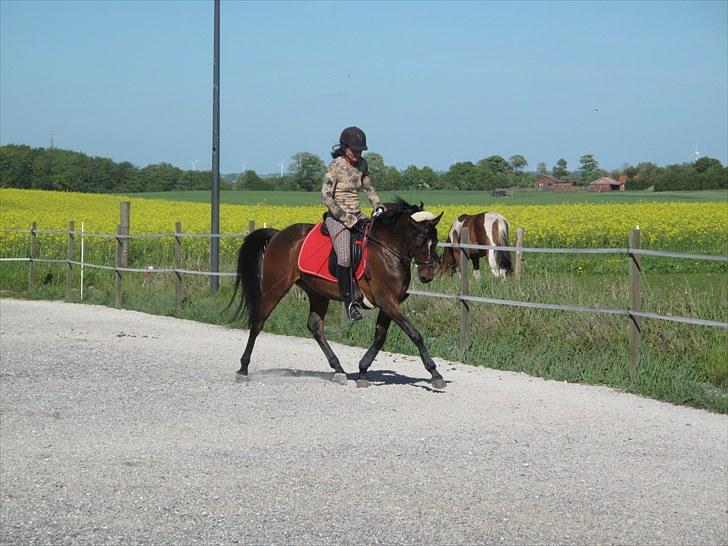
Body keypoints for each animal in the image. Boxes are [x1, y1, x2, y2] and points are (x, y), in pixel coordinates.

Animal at [229, 198, 446, 389]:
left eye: (435, 240)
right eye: (419, 239)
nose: (428, 275)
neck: (387, 249)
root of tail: (277, 234)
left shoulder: (389, 303)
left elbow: (380, 337)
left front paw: (363, 370)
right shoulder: (387, 301)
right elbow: (414, 334)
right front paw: (435, 373)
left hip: (317, 293)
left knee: (315, 326)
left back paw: (339, 369)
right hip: (275, 288)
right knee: (257, 323)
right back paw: (243, 369)